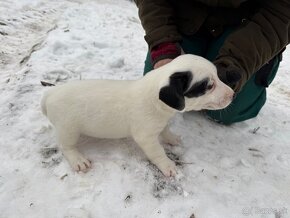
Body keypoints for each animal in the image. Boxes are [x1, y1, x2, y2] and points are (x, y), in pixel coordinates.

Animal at [41, 54, 233, 177]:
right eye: (209, 86)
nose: (232, 94)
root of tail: (49, 94)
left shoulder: (162, 123)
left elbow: (166, 130)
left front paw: (171, 138)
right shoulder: (146, 137)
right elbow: (158, 152)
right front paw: (167, 165)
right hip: (68, 129)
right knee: (66, 146)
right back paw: (78, 159)